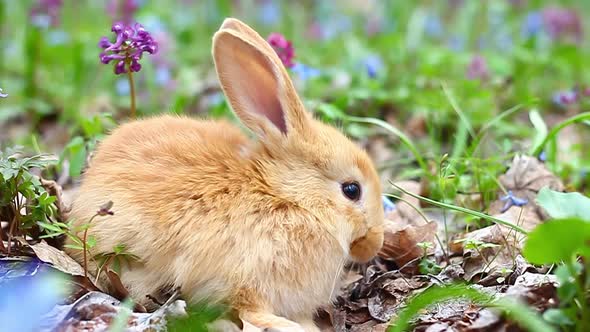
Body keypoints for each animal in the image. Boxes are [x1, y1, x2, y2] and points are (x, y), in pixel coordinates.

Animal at [65, 18, 386, 332]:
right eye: (352, 190)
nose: (375, 243)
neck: (286, 196)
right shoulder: (244, 278)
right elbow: (250, 309)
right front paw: (287, 326)